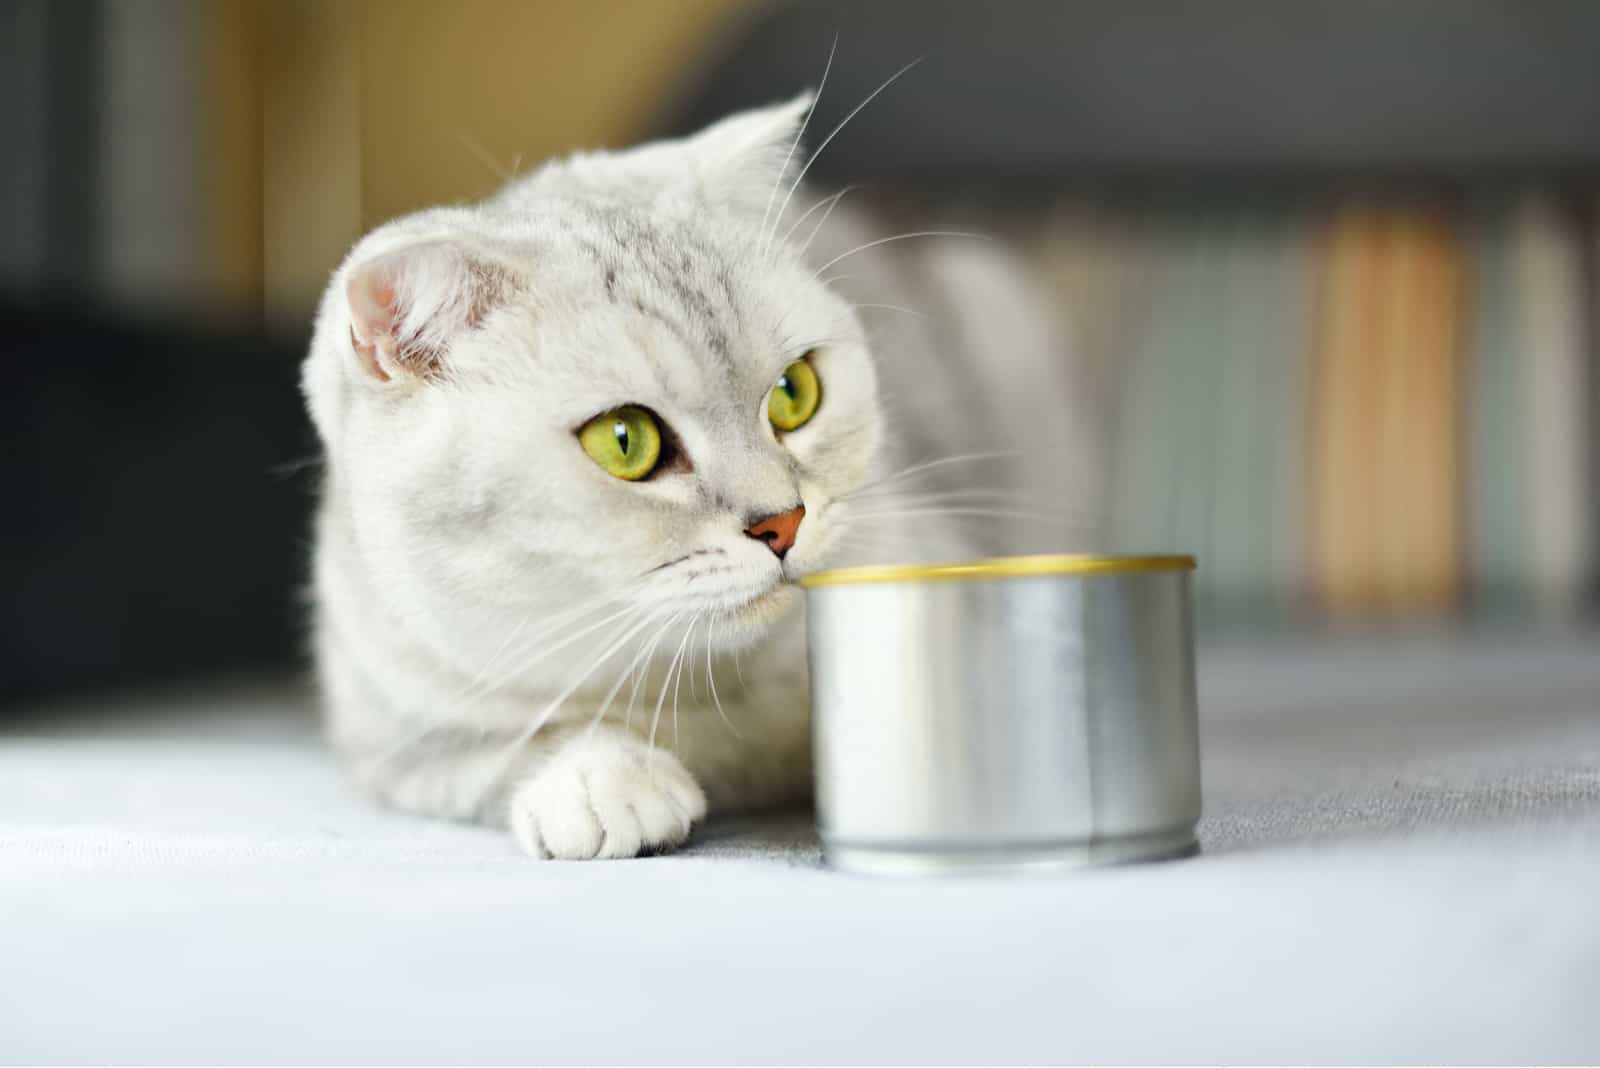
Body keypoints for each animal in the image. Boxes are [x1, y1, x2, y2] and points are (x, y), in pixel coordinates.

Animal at [300, 91, 1100, 856]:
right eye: (626, 441)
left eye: (794, 392)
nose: (783, 522)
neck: (709, 689)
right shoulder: (396, 733)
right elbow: (514, 743)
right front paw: (602, 779)